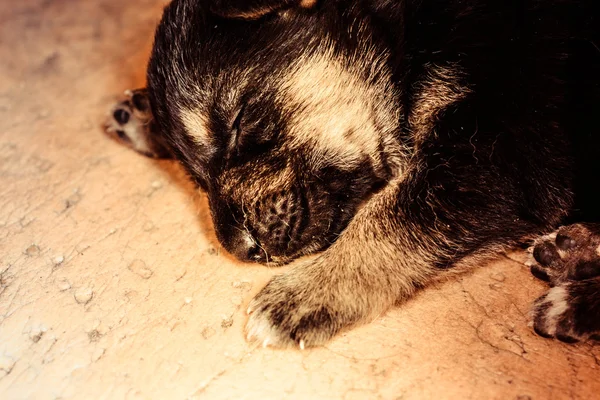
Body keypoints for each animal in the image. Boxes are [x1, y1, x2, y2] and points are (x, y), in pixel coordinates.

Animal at [105, 0, 600, 346]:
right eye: (195, 180)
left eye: (239, 124)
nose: (245, 250)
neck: (404, 34)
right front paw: (146, 117)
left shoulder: (508, 144)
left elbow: (395, 216)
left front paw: (310, 291)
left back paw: (572, 297)